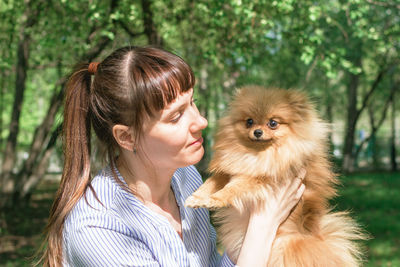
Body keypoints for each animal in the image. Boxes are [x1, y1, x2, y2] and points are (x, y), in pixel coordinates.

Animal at [186, 87, 364, 266]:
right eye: (249, 121)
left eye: (273, 123)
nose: (257, 132)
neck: (257, 154)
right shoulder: (230, 170)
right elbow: (209, 184)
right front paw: (196, 198)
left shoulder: (259, 178)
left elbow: (233, 188)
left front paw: (216, 198)